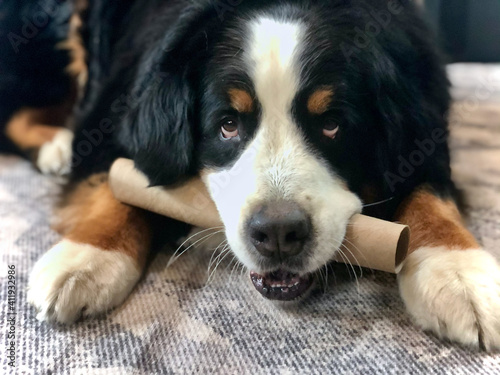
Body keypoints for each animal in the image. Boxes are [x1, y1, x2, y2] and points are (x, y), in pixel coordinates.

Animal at [1, 0, 498, 352]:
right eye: (228, 124)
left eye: (332, 124)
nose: (278, 233)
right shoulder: (118, 106)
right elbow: (124, 179)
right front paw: (86, 256)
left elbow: (429, 192)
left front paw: (458, 272)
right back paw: (55, 144)